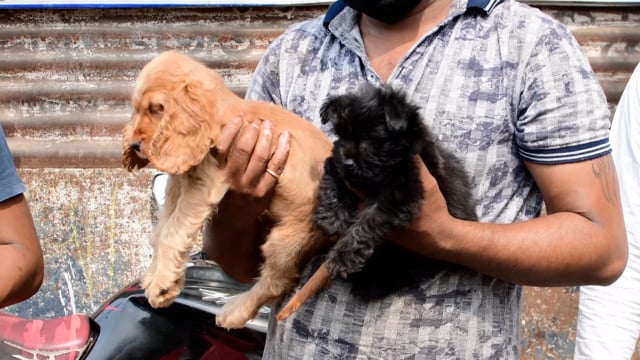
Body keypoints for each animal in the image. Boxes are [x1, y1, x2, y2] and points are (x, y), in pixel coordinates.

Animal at [120, 50, 332, 330]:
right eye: (136, 109)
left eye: (157, 109)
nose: (134, 144)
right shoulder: (180, 182)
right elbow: (163, 229)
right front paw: (161, 277)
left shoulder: (204, 183)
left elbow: (172, 232)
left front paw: (161, 284)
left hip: (288, 237)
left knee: (278, 282)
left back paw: (234, 311)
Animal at [312, 83, 478, 298]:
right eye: (341, 134)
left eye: (371, 138)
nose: (347, 162)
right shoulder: (338, 163)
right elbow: (332, 173)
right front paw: (331, 216)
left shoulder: (400, 195)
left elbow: (365, 226)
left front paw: (342, 257)